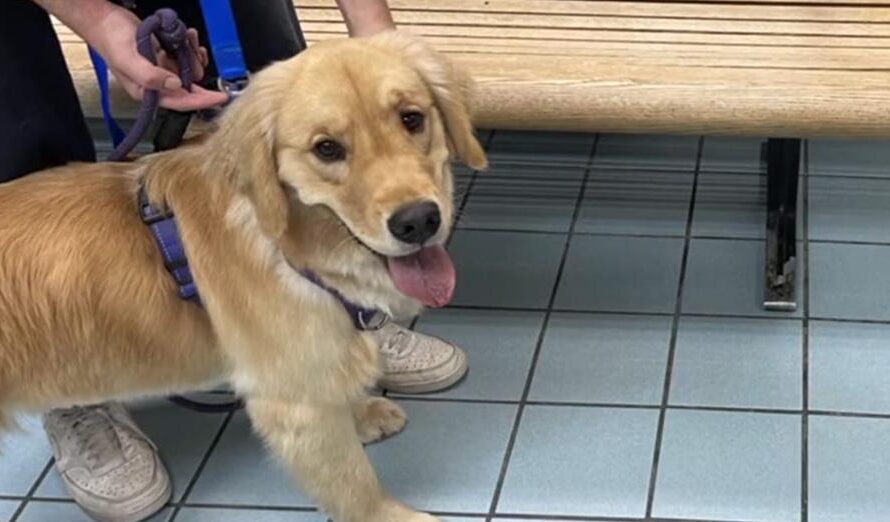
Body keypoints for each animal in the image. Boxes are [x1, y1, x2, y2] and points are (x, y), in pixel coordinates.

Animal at [0, 32, 486, 520]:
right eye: (327, 148)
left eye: (412, 119)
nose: (418, 221)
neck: (288, 246)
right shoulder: (293, 403)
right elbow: (352, 480)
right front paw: (386, 512)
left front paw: (361, 413)